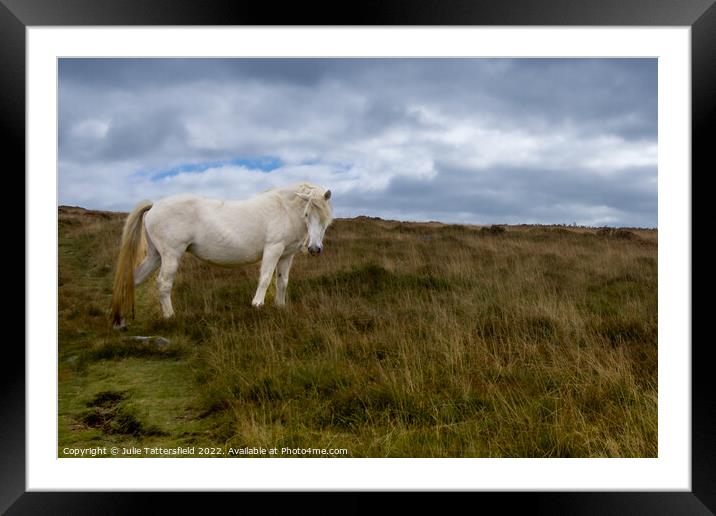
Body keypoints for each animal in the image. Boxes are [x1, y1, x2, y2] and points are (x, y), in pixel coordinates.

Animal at [111, 181, 332, 326]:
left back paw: (121, 320)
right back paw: (170, 317)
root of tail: (154, 205)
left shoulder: (286, 255)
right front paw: (257, 305)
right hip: (170, 255)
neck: (284, 209)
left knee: (134, 279)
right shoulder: (273, 249)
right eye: (307, 213)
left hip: (155, 256)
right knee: (164, 283)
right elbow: (265, 278)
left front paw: (280, 307)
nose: (314, 249)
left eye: (325, 218)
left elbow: (282, 281)